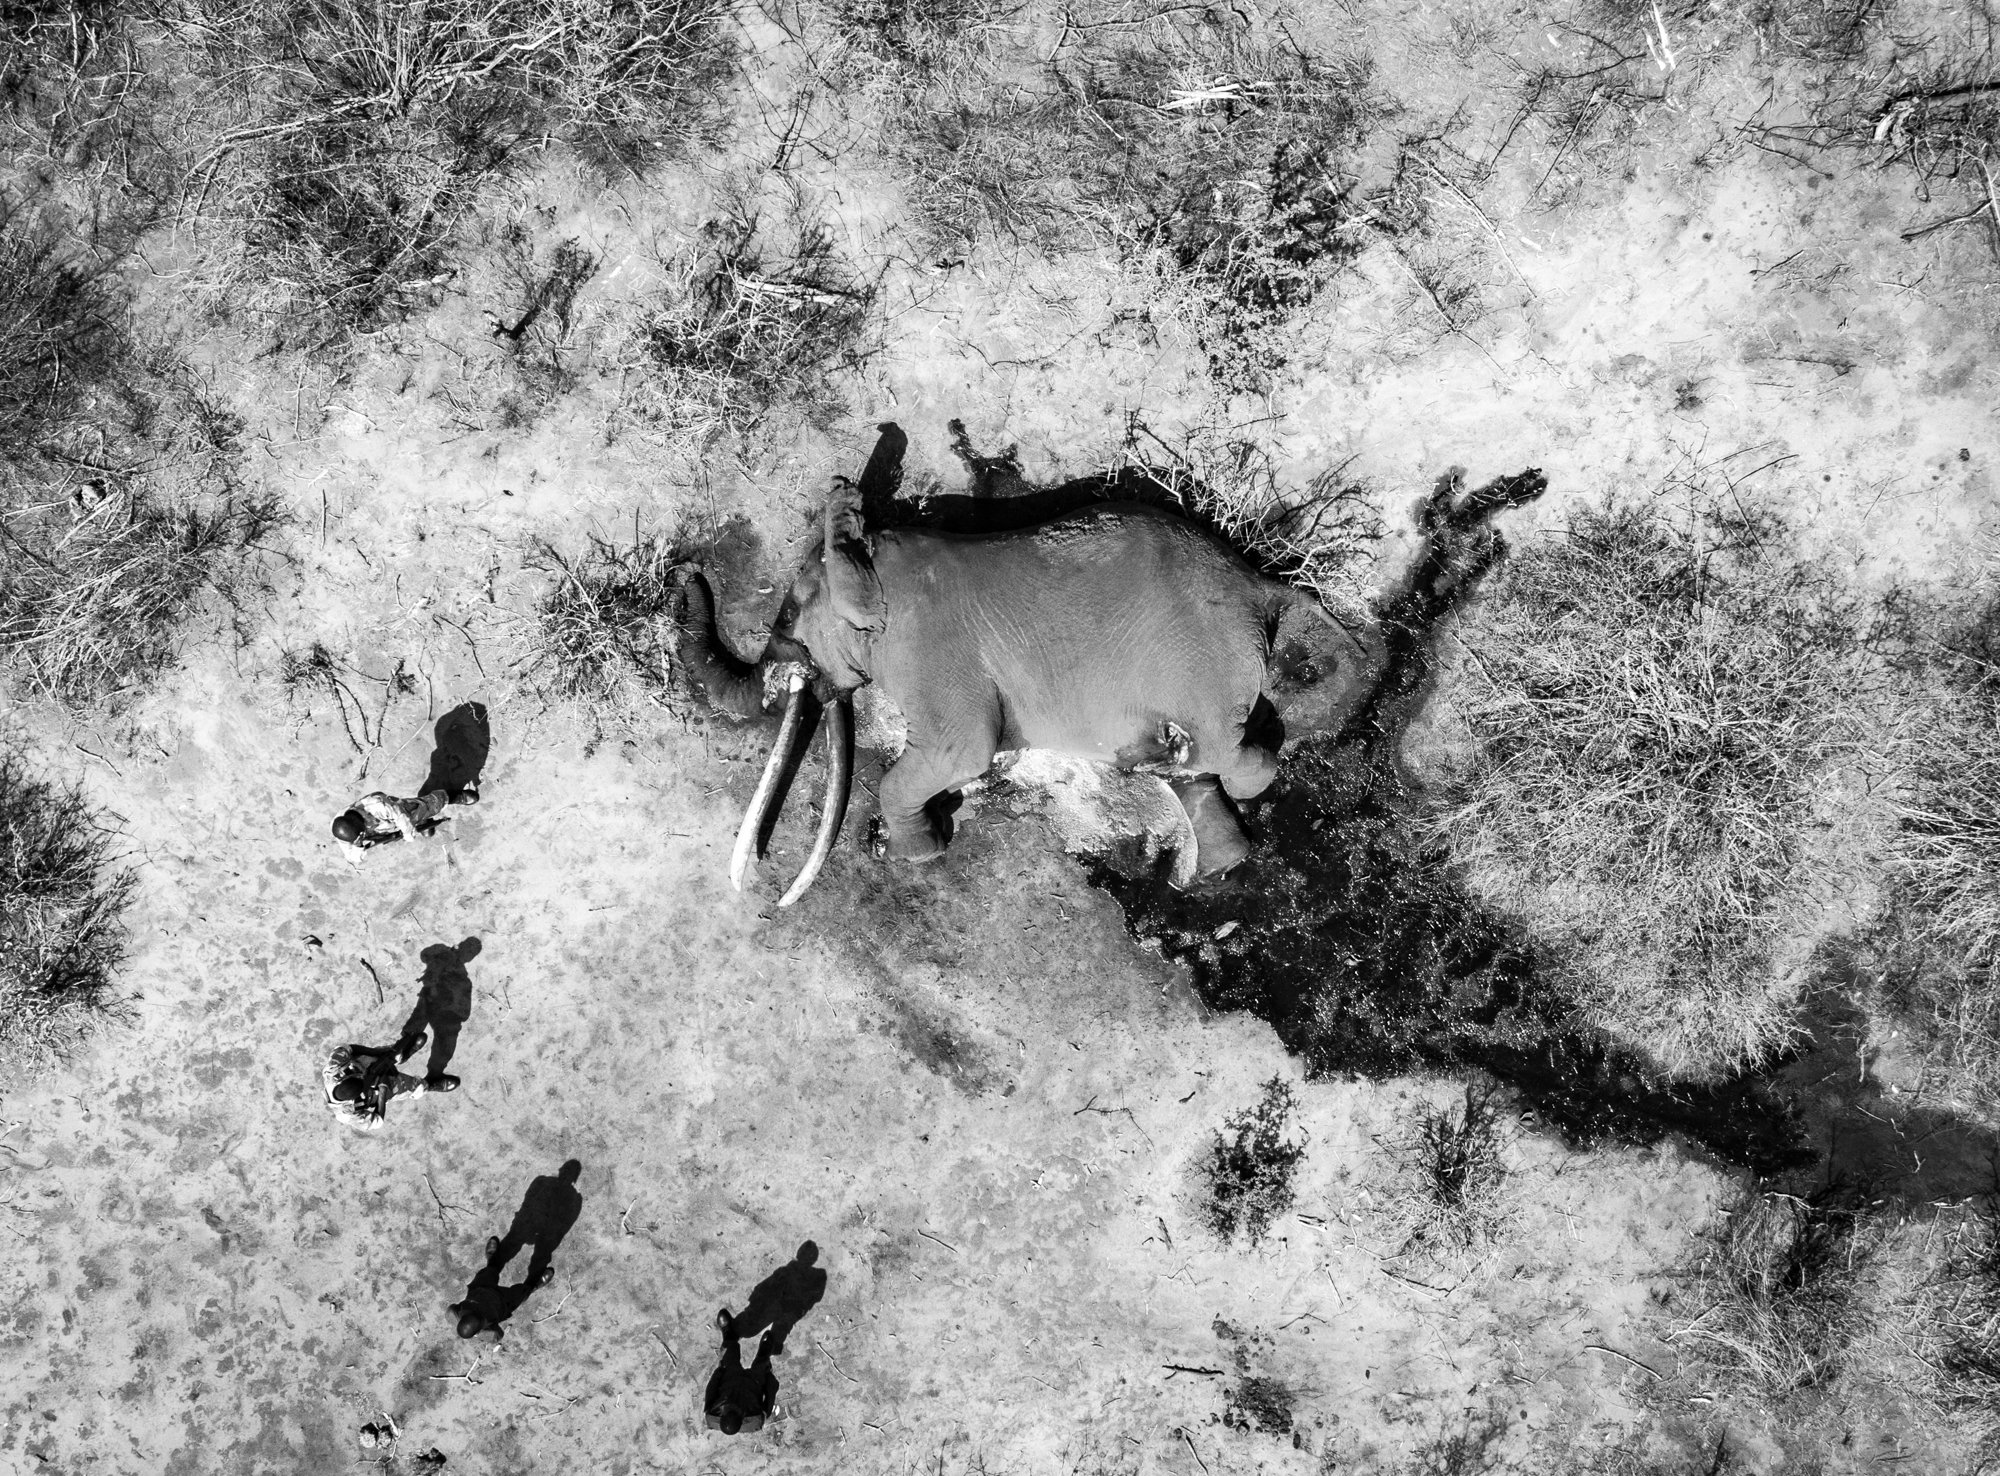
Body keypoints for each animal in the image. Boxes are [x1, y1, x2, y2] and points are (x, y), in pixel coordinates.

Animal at [674, 451, 1376, 908]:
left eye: (790, 616)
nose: (686, 573)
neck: (869, 556)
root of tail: (1261, 582)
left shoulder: (931, 647)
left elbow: (964, 750)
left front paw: (910, 855)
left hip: (1205, 664)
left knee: (1231, 753)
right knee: (1202, 778)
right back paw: (1201, 861)